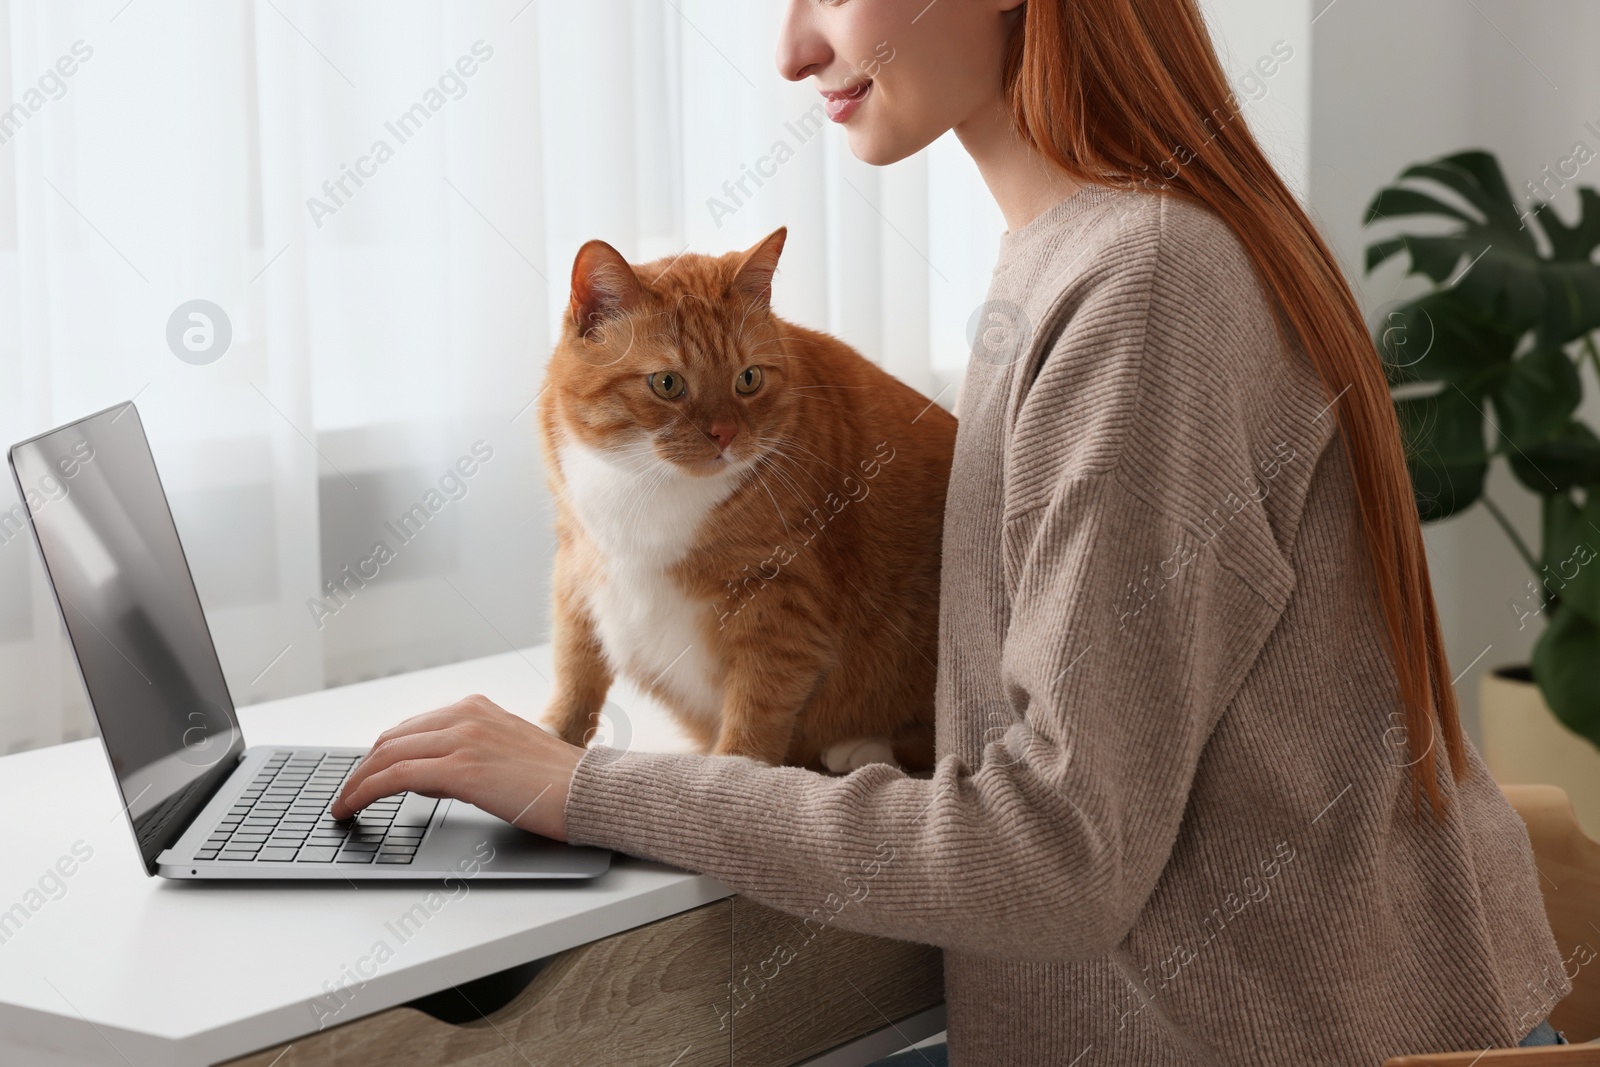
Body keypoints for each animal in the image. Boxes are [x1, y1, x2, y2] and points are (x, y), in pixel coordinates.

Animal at [537, 227, 953, 777]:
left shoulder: (781, 608)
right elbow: (574, 673)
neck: (647, 484)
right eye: (667, 384)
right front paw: (548, 737)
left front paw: (726, 775)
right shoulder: (578, 571)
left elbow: (754, 720)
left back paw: (862, 748)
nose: (725, 433)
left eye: (748, 379)